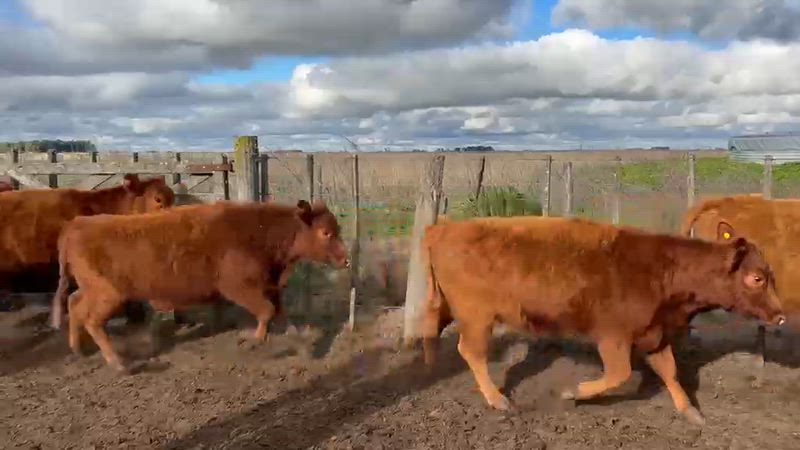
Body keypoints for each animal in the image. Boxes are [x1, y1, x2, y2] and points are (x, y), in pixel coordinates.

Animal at [51, 199, 349, 372]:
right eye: (326, 232)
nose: (346, 259)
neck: (260, 232)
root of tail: (75, 225)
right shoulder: (239, 287)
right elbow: (266, 311)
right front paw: (254, 342)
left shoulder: (270, 285)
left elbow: (281, 315)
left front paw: (303, 344)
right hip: (108, 295)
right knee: (91, 319)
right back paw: (118, 363)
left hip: (92, 291)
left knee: (74, 304)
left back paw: (79, 349)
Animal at [420, 215, 785, 426]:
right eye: (756, 278)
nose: (781, 316)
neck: (665, 271)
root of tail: (442, 228)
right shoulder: (614, 338)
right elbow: (619, 374)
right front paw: (573, 392)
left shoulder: (655, 334)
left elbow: (670, 371)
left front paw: (690, 412)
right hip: (477, 316)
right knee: (471, 351)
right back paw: (498, 399)